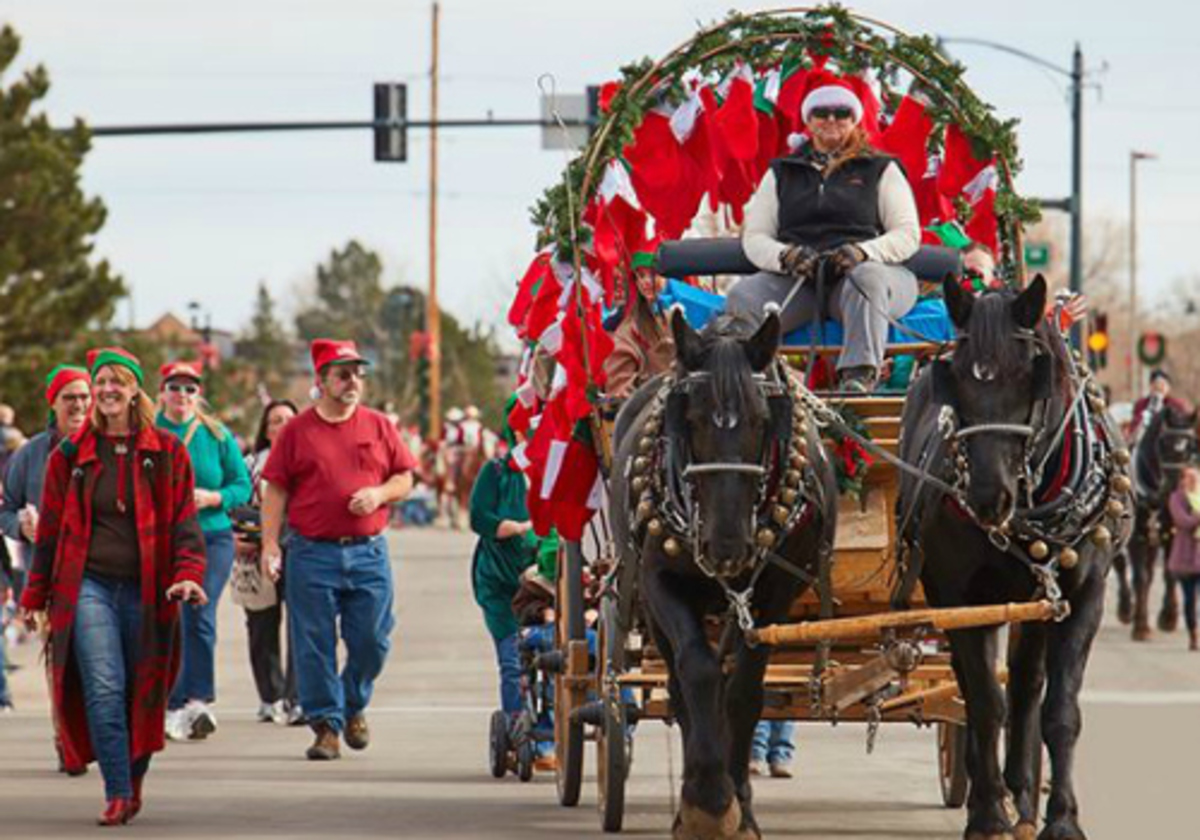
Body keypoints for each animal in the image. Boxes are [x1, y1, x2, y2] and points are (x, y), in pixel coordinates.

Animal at [609, 309, 835, 840]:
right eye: (691, 419)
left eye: (760, 420)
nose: (727, 546)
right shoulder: (659, 584)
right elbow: (698, 672)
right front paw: (707, 802)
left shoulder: (773, 596)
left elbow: (743, 692)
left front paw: (741, 809)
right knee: (679, 685)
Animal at [902, 277, 1132, 840]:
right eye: (956, 378)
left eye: (1031, 376)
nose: (989, 498)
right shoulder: (963, 600)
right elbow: (985, 705)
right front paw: (987, 814)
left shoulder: (1082, 597)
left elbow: (1059, 710)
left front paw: (1062, 818)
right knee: (980, 690)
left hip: (1034, 605)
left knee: (1028, 687)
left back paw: (1023, 799)